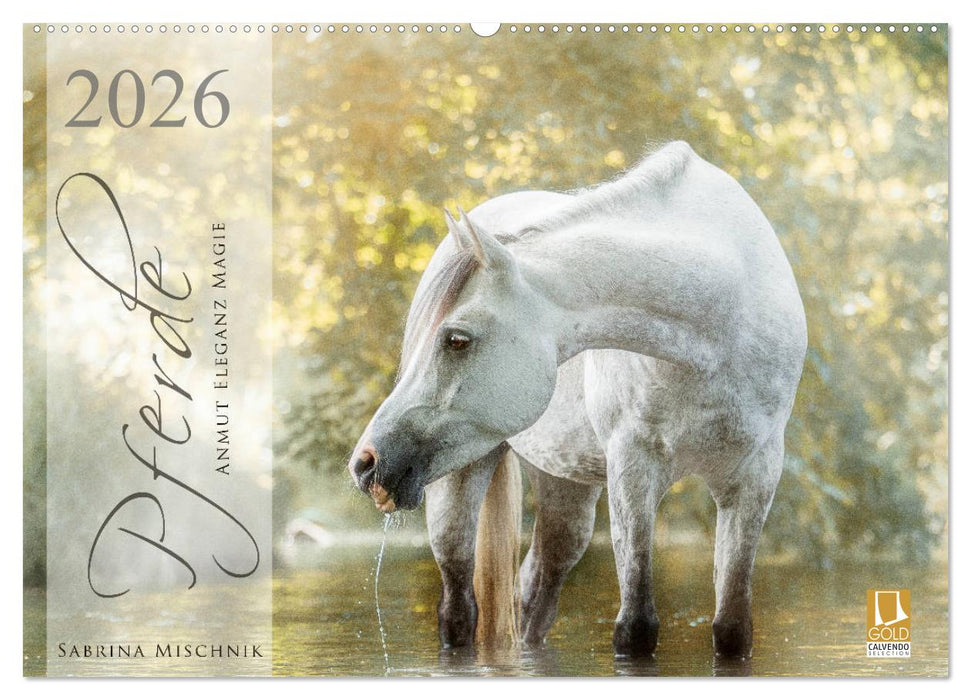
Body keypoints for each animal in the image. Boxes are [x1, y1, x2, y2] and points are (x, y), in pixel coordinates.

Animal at [347, 142, 807, 658]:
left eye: (457, 339)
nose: (366, 462)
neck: (724, 320)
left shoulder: (755, 477)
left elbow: (732, 628)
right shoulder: (633, 467)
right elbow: (637, 627)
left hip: (565, 487)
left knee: (536, 588)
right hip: (459, 480)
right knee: (458, 608)